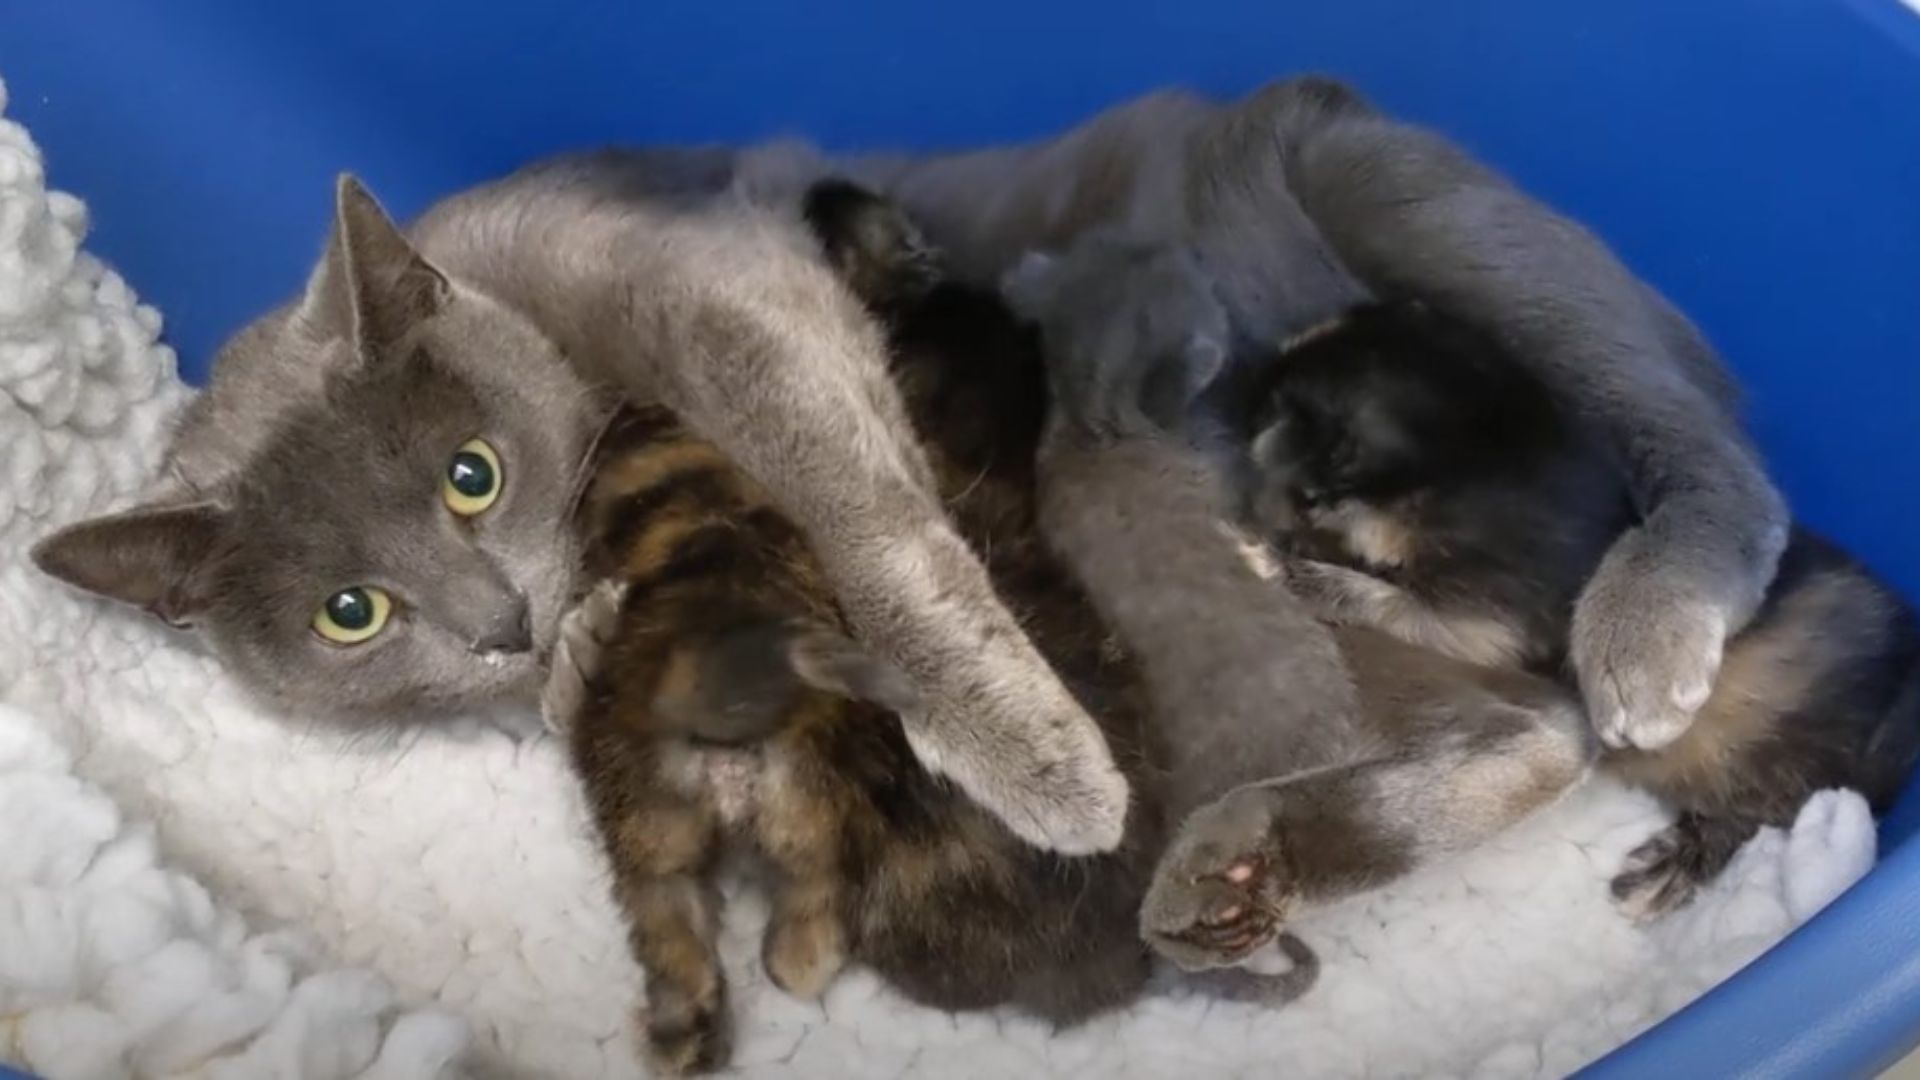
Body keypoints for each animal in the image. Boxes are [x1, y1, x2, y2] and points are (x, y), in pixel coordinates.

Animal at [30, 75, 1774, 860]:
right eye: (351, 615)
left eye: (471, 475)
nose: (495, 624)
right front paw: (581, 646)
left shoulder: (731, 299)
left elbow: (865, 519)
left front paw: (1044, 768)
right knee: (1526, 727)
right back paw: (1290, 827)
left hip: (1414, 205)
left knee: (1704, 461)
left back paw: (1643, 638)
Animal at [1244, 297, 1920, 910]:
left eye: (1285, 405)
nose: (1243, 380)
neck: (1491, 453)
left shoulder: (1496, 617)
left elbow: (1401, 612)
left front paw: (1282, 566)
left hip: (1778, 765)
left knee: (1762, 815)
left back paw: (1669, 868)